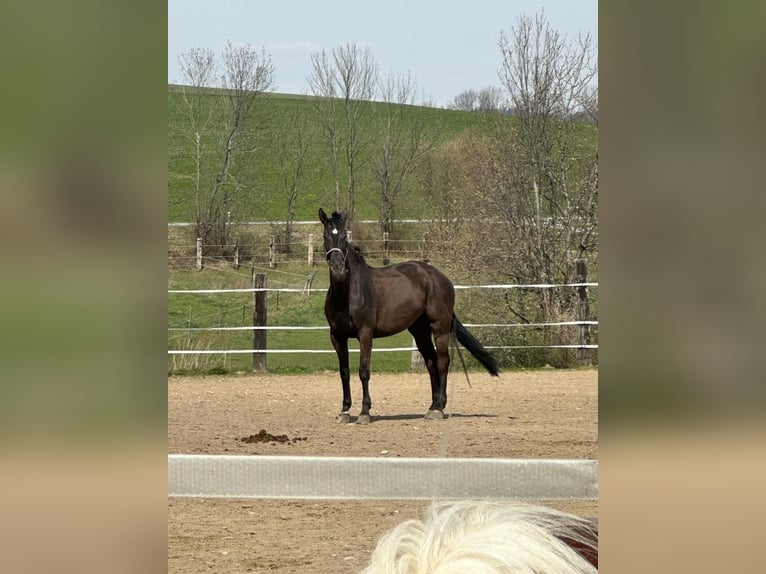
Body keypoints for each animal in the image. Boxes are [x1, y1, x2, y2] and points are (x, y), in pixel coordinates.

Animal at [319, 208, 499, 424]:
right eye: (325, 236)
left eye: (345, 237)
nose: (337, 266)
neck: (348, 293)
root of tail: (440, 277)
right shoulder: (337, 336)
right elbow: (344, 372)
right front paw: (345, 412)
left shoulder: (365, 334)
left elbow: (364, 371)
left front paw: (364, 412)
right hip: (420, 331)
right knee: (431, 362)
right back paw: (433, 406)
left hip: (439, 327)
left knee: (442, 362)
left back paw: (439, 408)